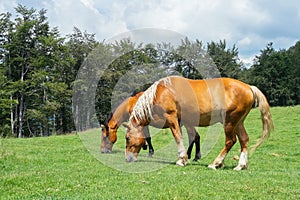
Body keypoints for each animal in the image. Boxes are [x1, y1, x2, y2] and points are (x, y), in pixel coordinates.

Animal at [123, 75, 274, 170]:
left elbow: (178, 137)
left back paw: (216, 163)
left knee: (230, 141)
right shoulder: (184, 122)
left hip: (230, 122)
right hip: (238, 122)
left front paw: (182, 159)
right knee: (244, 140)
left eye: (127, 138)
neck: (162, 92)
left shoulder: (172, 118)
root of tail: (249, 87)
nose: (127, 158)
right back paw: (240, 165)